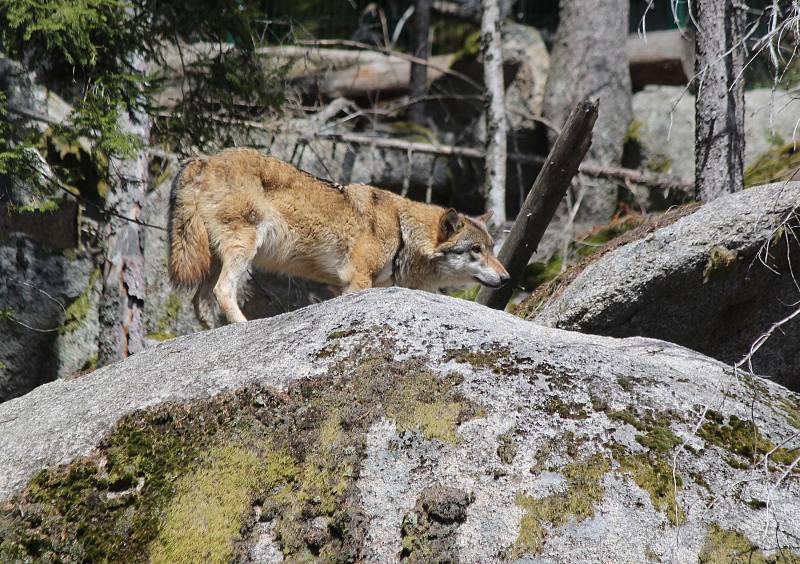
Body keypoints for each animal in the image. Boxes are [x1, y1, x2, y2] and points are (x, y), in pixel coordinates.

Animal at [167, 148, 512, 326]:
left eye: (491, 248)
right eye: (476, 250)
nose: (508, 278)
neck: (402, 230)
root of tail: (204, 159)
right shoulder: (357, 280)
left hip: (212, 260)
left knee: (201, 303)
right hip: (243, 252)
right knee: (223, 291)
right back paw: (244, 325)